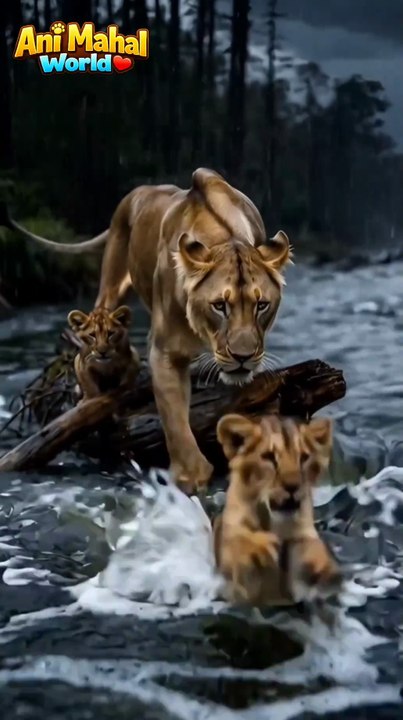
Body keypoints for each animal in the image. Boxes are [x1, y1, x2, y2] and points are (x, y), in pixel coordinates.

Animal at [7, 168, 292, 492]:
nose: (242, 357)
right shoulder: (165, 351)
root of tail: (137, 192)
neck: (224, 237)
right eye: (219, 306)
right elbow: (176, 422)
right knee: (93, 327)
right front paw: (190, 478)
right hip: (111, 284)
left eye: (262, 305)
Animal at [213, 413, 342, 606]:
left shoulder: (303, 534)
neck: (274, 523)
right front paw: (264, 545)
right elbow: (240, 544)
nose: (292, 486)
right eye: (269, 457)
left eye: (303, 458)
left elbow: (313, 547)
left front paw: (326, 570)